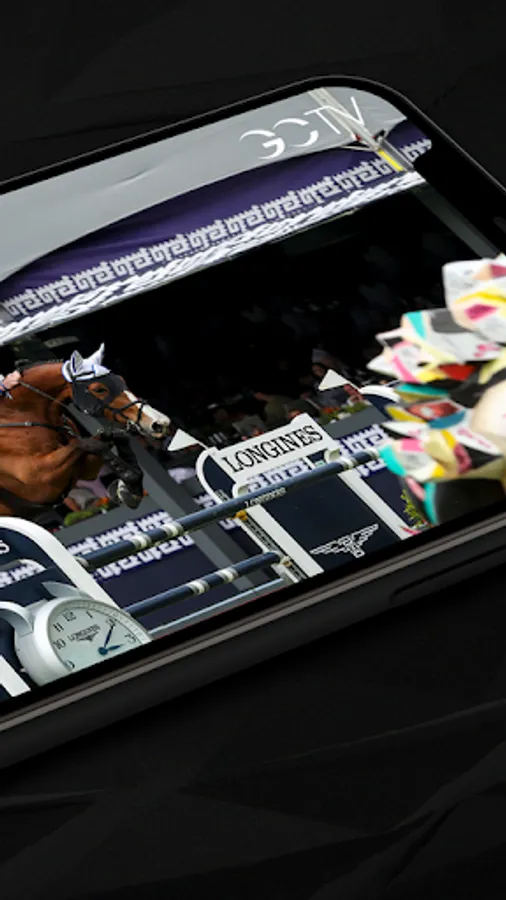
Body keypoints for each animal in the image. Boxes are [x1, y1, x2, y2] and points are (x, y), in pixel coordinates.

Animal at [0, 344, 171, 519]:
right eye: (99, 389)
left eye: (121, 380)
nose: (159, 423)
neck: (18, 414)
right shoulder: (41, 480)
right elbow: (86, 444)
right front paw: (129, 481)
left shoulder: (83, 470)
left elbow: (110, 438)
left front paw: (128, 490)